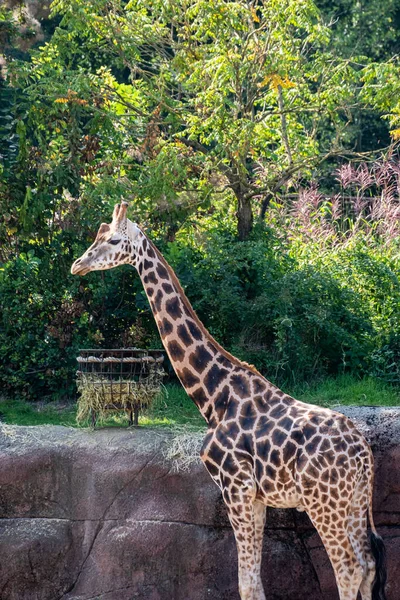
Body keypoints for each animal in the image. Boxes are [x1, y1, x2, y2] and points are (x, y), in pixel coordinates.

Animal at [70, 203, 386, 600]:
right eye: (96, 237)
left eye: (113, 240)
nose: (77, 265)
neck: (214, 396)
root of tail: (363, 455)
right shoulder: (256, 497)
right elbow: (254, 579)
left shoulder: (235, 487)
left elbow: (246, 582)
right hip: (354, 501)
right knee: (369, 566)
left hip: (324, 502)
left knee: (348, 568)